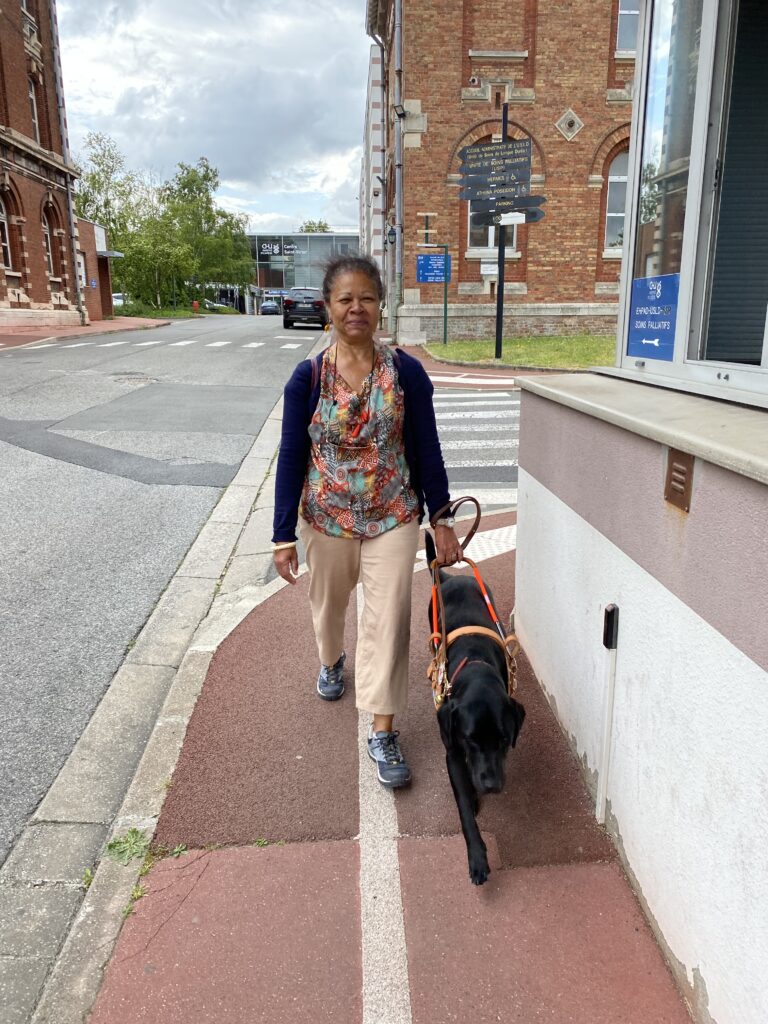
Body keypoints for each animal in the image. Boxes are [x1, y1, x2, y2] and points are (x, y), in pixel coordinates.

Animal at [423, 532, 528, 884]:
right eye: (470, 739)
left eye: (503, 740)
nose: (492, 786)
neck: (476, 662)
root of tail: (449, 576)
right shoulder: (452, 750)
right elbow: (465, 809)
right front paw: (478, 858)